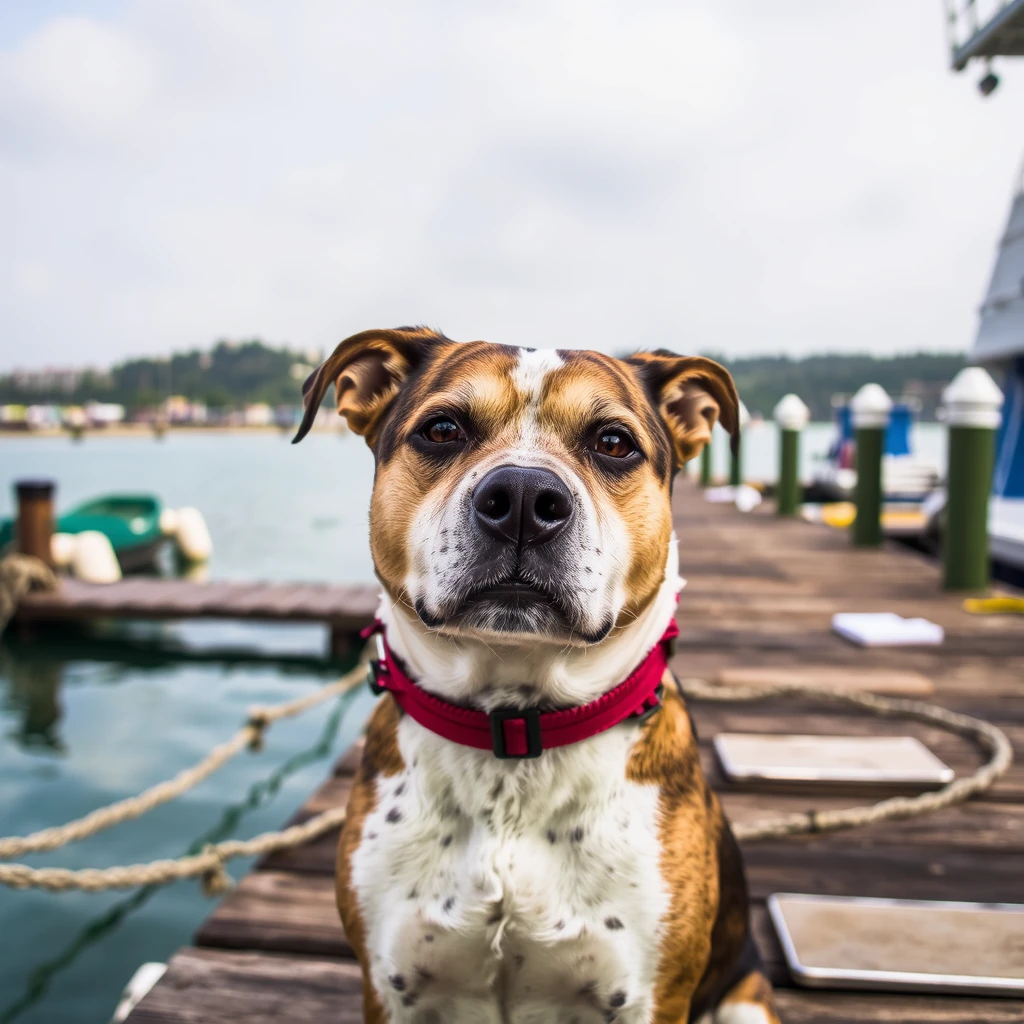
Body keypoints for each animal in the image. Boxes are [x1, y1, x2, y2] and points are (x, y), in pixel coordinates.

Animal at [292, 327, 778, 1024]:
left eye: (613, 442)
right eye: (442, 429)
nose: (522, 498)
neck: (514, 726)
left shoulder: (650, 997)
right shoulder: (389, 986)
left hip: (745, 1001)